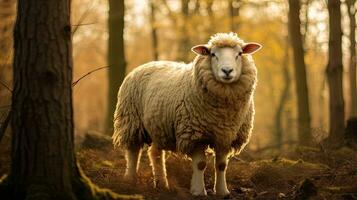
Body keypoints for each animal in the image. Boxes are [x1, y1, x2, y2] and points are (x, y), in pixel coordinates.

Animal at [112, 32, 260, 196]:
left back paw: (162, 184)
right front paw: (198, 191)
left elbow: (221, 165)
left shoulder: (226, 135)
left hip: (158, 125)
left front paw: (223, 192)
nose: (227, 71)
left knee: (155, 153)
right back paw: (130, 180)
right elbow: (200, 164)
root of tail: (146, 64)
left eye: (239, 54)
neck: (223, 113)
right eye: (213, 54)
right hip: (131, 120)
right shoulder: (194, 134)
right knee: (133, 151)